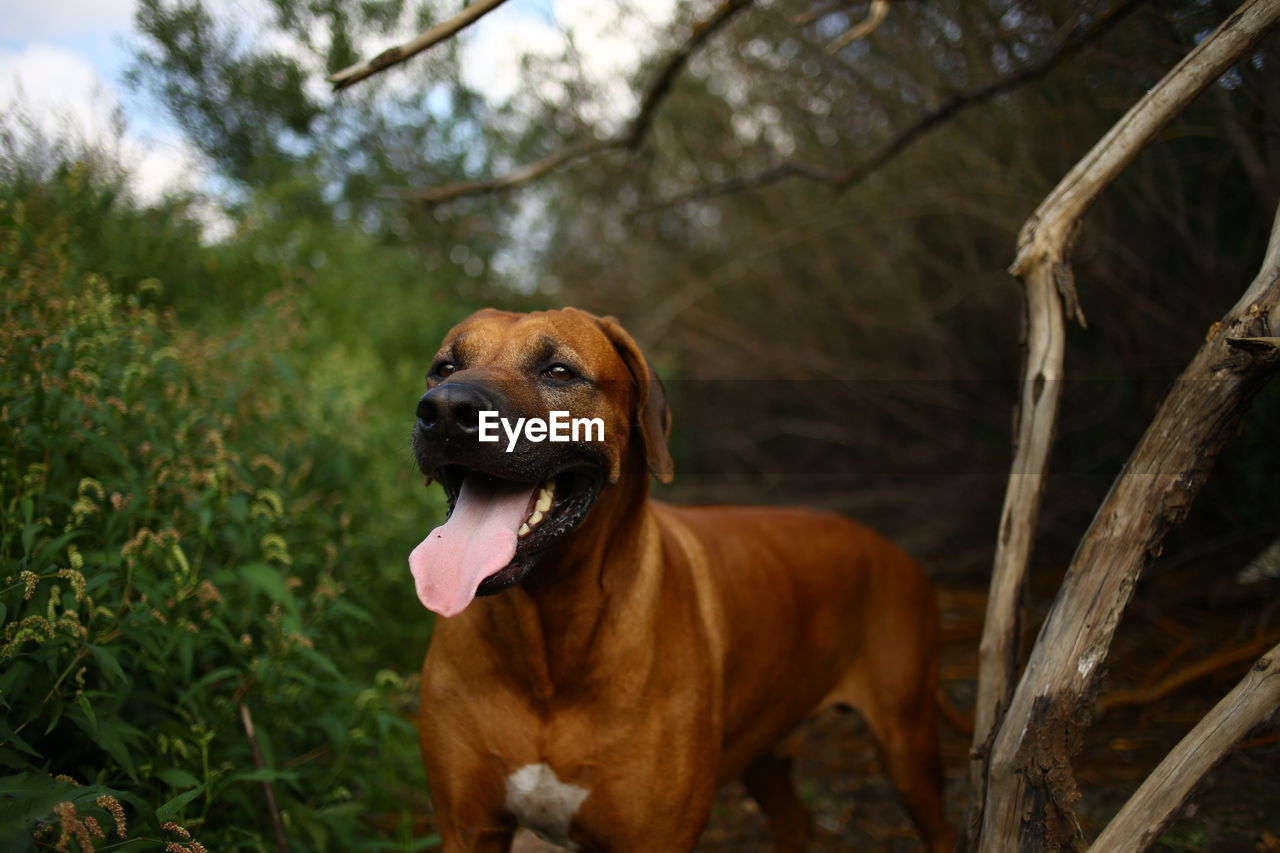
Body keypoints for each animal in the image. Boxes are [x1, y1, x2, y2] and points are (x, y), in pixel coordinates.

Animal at [407, 307, 952, 850]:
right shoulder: (468, 830)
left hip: (907, 742)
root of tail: (891, 547)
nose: (446, 409)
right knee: (796, 820)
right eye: (444, 368)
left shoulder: (655, 837)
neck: (548, 643)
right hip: (767, 747)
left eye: (559, 371)